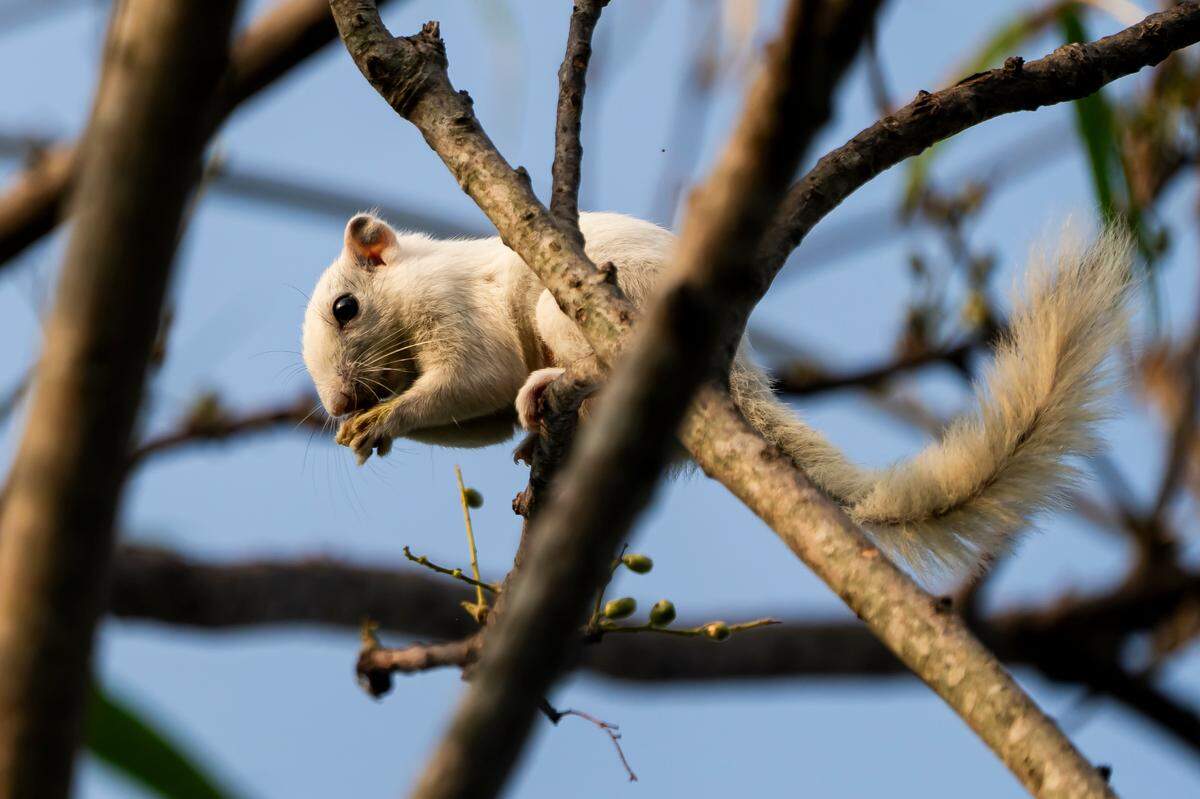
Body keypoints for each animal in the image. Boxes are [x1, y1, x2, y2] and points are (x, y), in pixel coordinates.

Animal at [301, 211, 1133, 573]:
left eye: (345, 308)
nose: (337, 404)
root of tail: (733, 376)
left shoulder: (459, 313)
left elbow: (476, 375)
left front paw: (382, 418)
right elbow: (475, 417)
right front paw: (366, 432)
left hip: (575, 308)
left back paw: (562, 390)